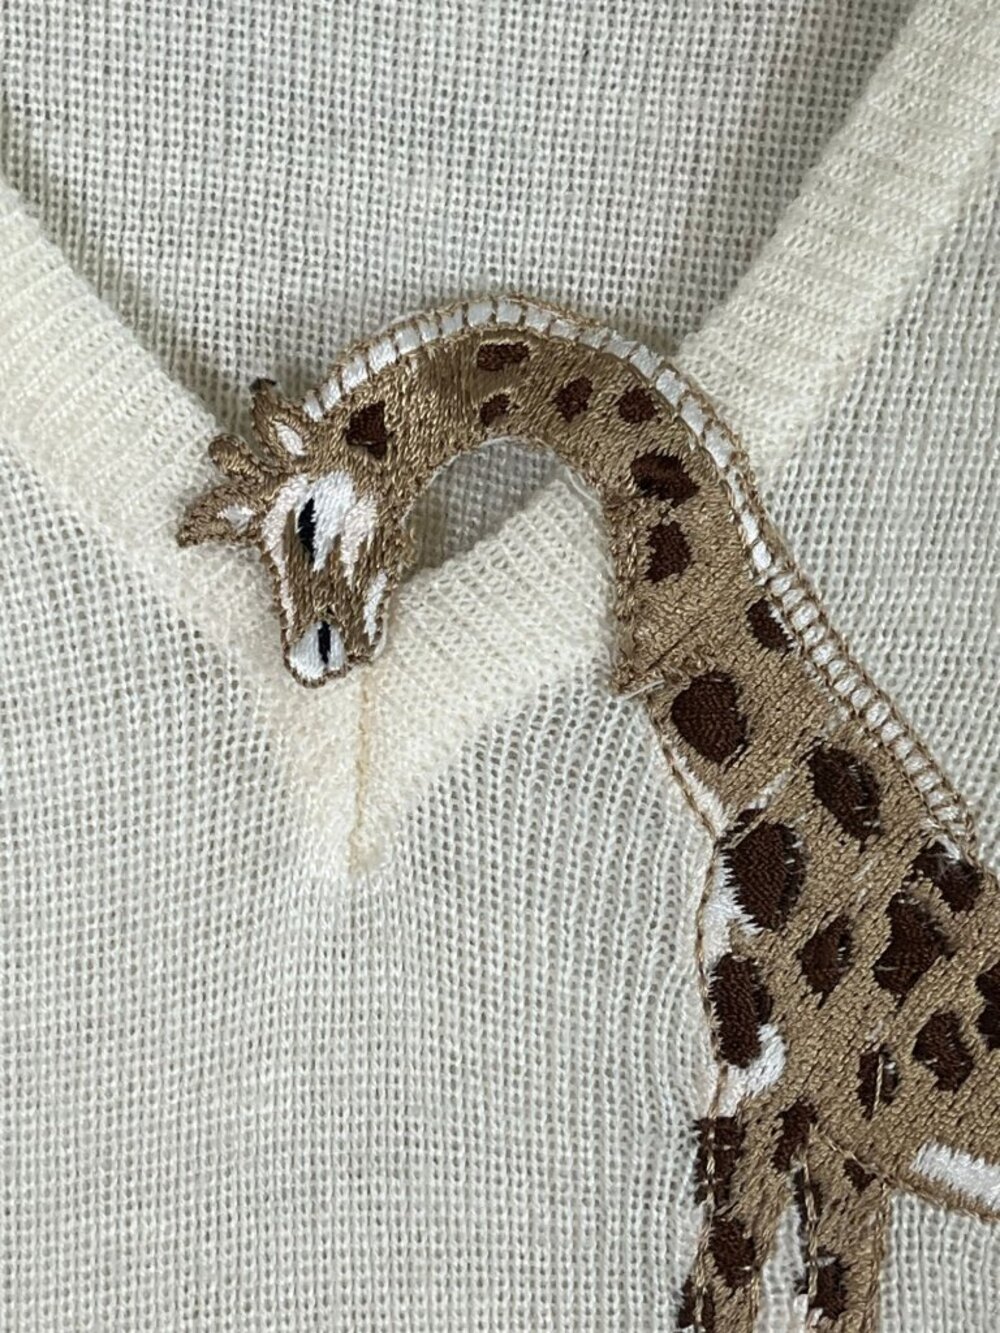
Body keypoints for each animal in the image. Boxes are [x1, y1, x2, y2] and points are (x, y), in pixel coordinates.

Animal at [179, 296, 1000, 1331]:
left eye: (308, 516)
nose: (318, 649)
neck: (769, 778)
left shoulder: (774, 1091)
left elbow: (724, 1285)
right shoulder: (842, 1141)